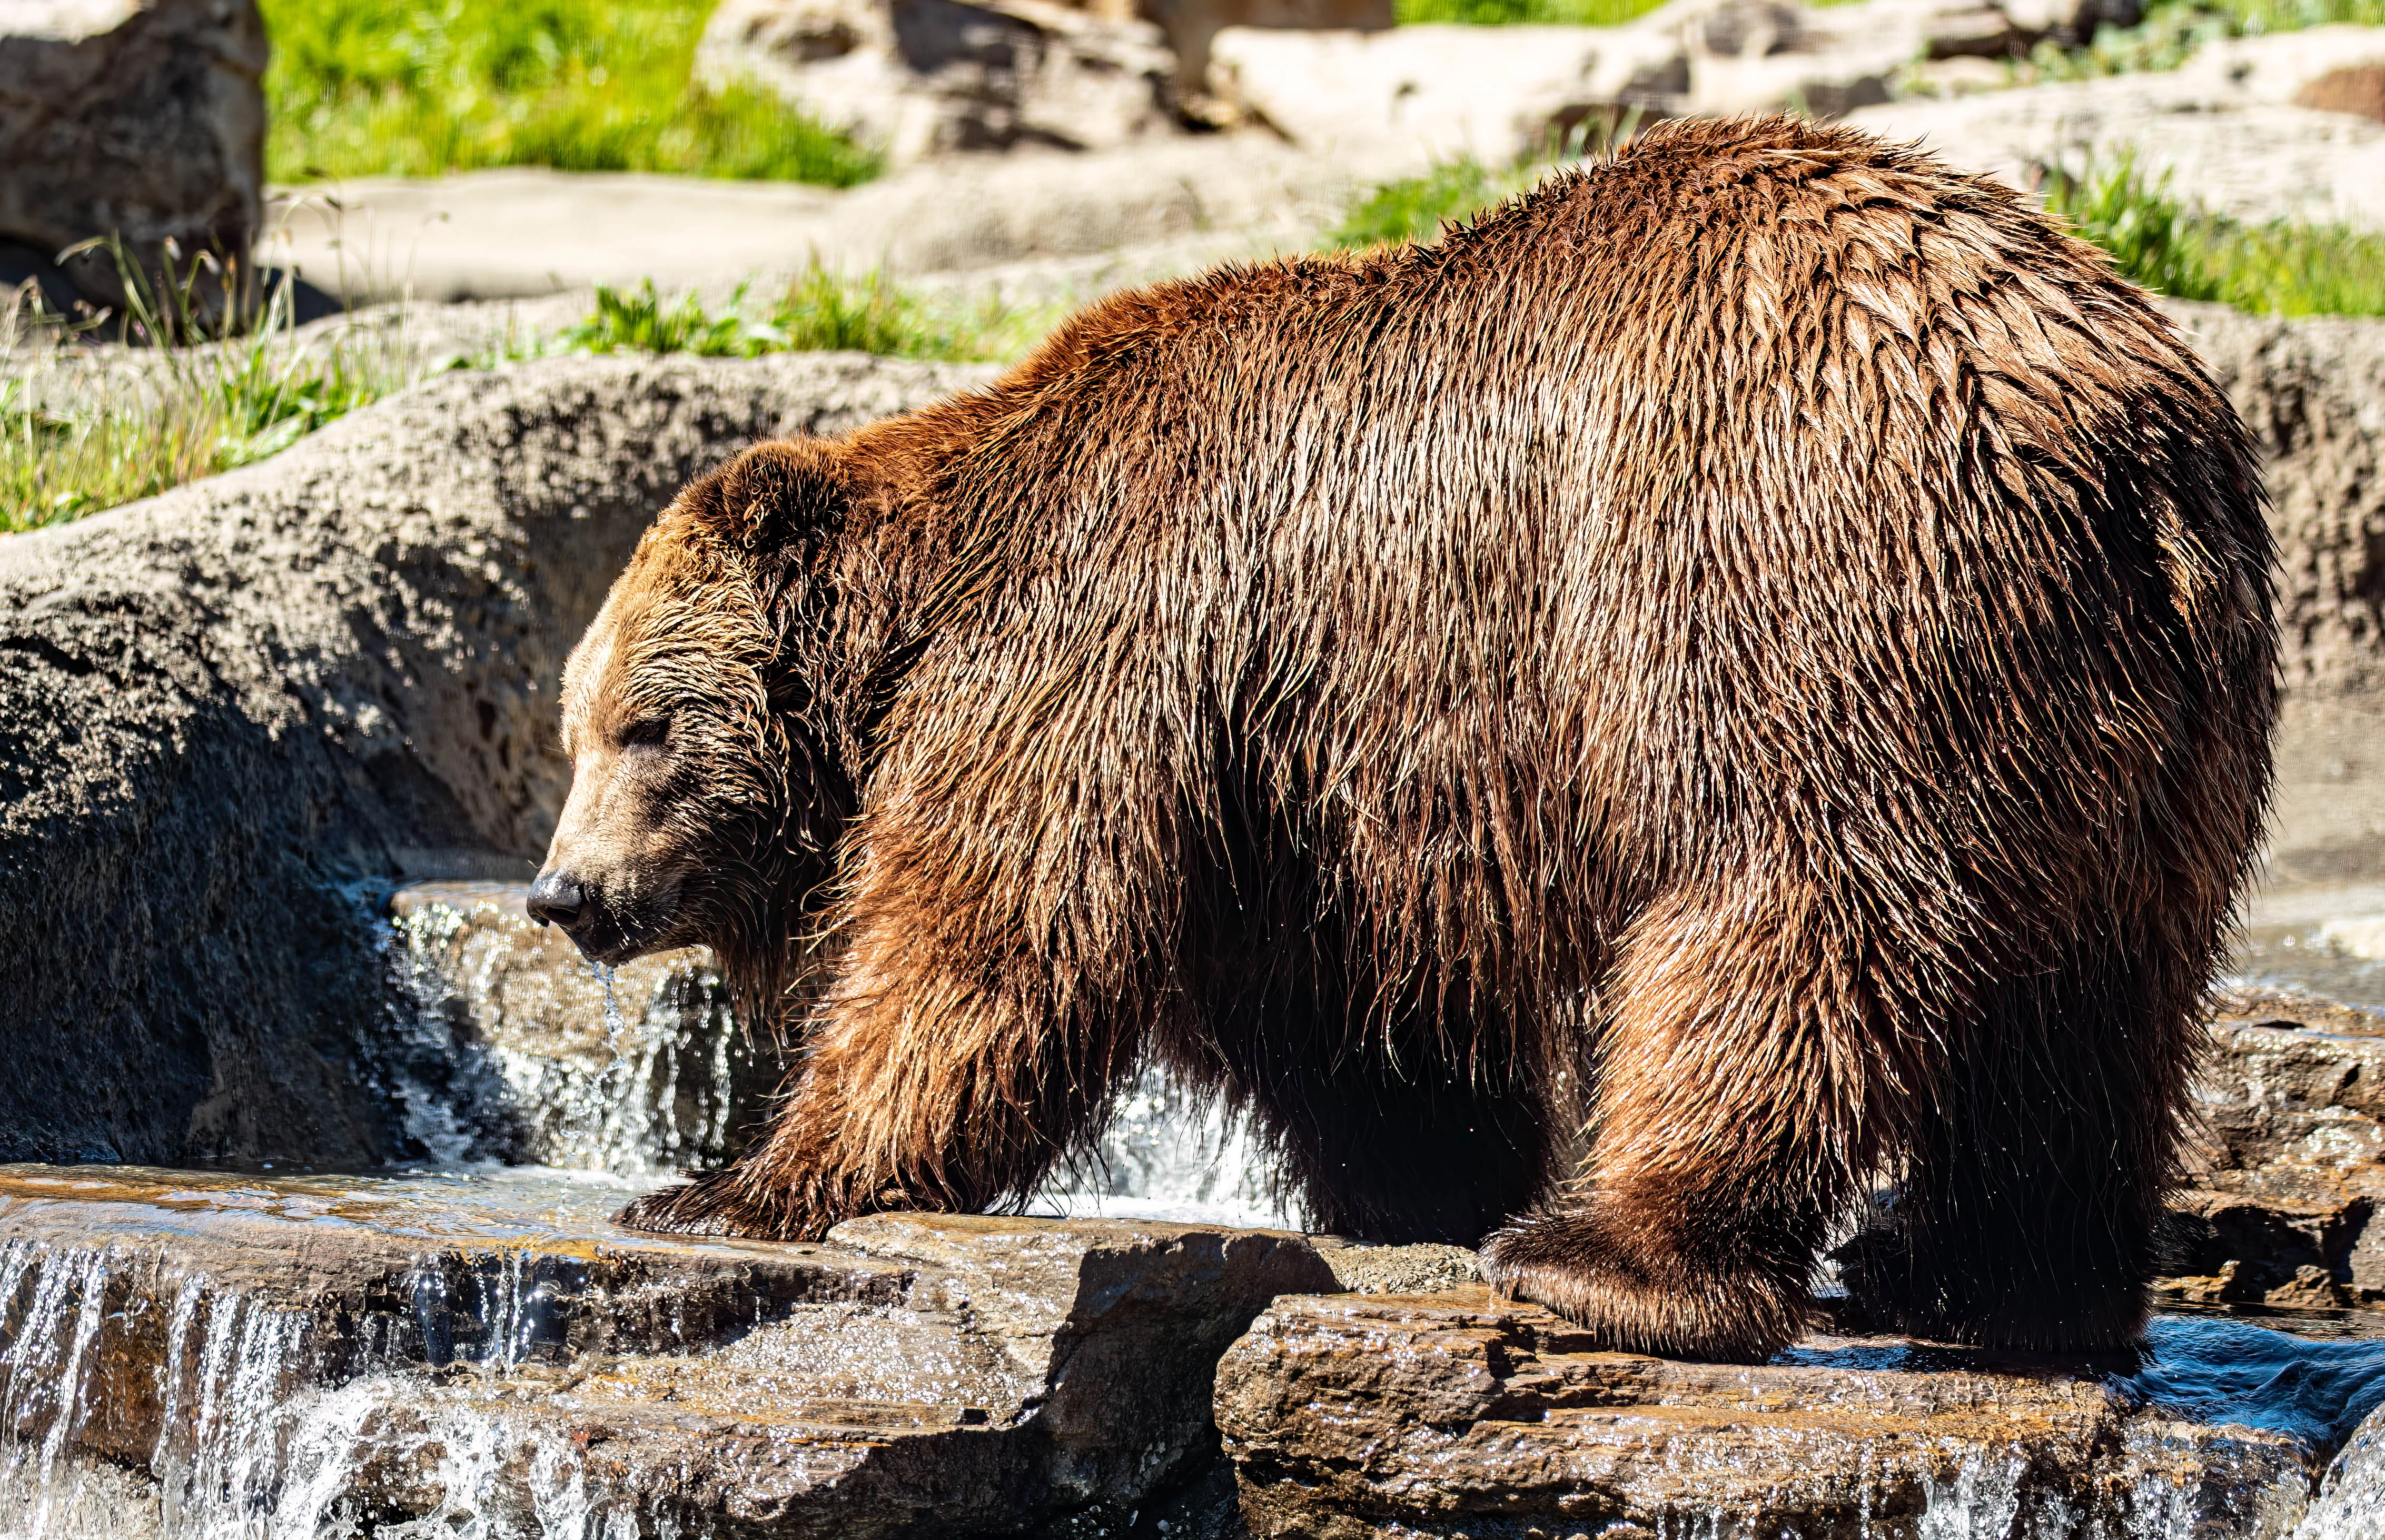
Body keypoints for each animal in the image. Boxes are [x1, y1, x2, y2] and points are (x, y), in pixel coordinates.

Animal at [527, 115, 2276, 1363]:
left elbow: (996, 933)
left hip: (1792, 580)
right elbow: (1363, 1035)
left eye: (640, 727)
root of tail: (2121, 425)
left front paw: (735, 1182)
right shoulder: (1302, 780)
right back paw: (2002, 1287)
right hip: (2140, 735)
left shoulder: (1101, 640)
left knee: (1778, 923)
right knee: (2089, 1012)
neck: (929, 589)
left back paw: (1613, 1260)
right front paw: (1430, 1181)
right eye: (575, 732)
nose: (564, 894)